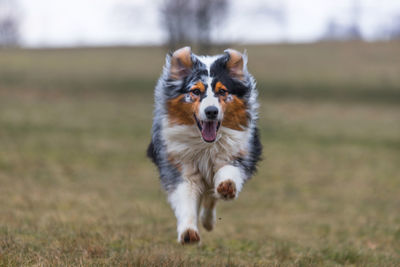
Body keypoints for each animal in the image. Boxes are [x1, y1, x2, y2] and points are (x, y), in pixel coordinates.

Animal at [147, 46, 262, 245]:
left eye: (222, 91)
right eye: (195, 91)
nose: (211, 112)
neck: (206, 146)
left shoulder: (239, 153)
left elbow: (229, 171)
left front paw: (227, 186)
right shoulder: (181, 166)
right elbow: (186, 197)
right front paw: (188, 232)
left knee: (210, 197)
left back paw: (208, 220)